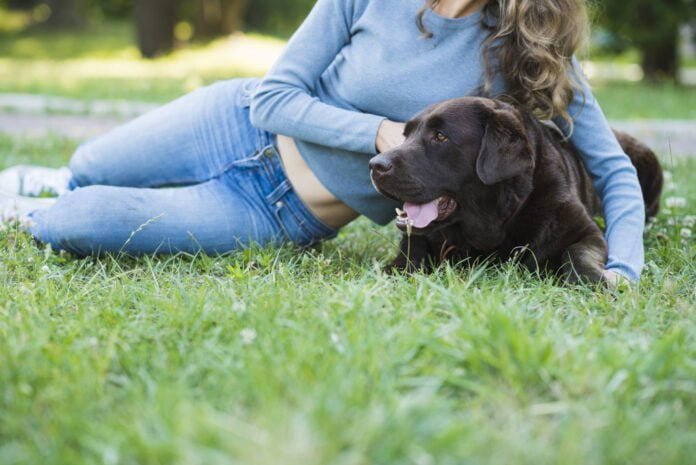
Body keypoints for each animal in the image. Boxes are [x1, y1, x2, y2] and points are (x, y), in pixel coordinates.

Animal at [368, 96, 660, 284]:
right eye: (406, 135)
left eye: (440, 136)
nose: (375, 164)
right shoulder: (414, 244)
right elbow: (403, 261)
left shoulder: (587, 232)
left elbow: (577, 253)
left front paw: (594, 282)